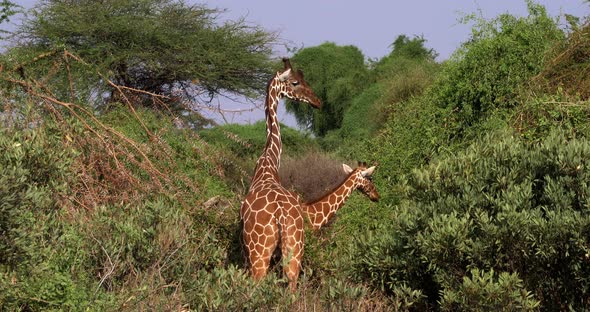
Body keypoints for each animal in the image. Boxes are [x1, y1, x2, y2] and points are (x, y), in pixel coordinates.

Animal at [240, 58, 322, 290]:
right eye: (295, 82)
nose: (318, 102)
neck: (268, 163)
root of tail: (281, 215)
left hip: (259, 253)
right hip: (295, 248)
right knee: (292, 283)